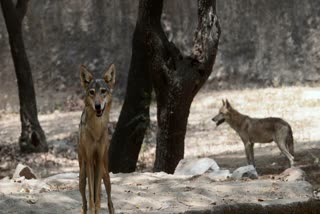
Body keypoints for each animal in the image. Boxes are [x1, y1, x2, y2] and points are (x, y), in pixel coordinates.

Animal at [77, 64, 115, 213]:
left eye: (103, 91)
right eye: (92, 92)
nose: (98, 106)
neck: (96, 130)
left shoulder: (98, 159)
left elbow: (97, 194)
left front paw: (98, 209)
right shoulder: (89, 159)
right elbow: (91, 196)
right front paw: (93, 209)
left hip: (106, 173)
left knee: (110, 202)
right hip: (82, 176)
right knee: (84, 202)